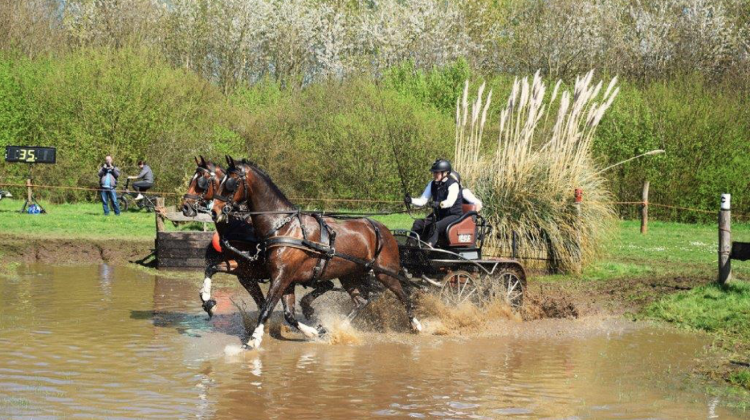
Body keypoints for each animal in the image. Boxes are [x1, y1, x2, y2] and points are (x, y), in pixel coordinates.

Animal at [182, 158, 334, 322]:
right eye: (191, 180)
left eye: (201, 182)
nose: (185, 207)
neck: (239, 226)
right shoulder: (244, 272)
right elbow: (211, 268)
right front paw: (208, 302)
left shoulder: (249, 271)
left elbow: (262, 303)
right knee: (328, 285)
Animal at [213, 156, 424, 350]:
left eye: (231, 184)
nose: (214, 211)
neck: (284, 227)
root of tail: (383, 229)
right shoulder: (286, 278)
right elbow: (288, 314)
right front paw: (314, 331)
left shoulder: (281, 277)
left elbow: (267, 308)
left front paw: (253, 341)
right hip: (350, 275)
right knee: (361, 301)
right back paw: (339, 328)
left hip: (384, 273)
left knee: (404, 296)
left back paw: (416, 325)